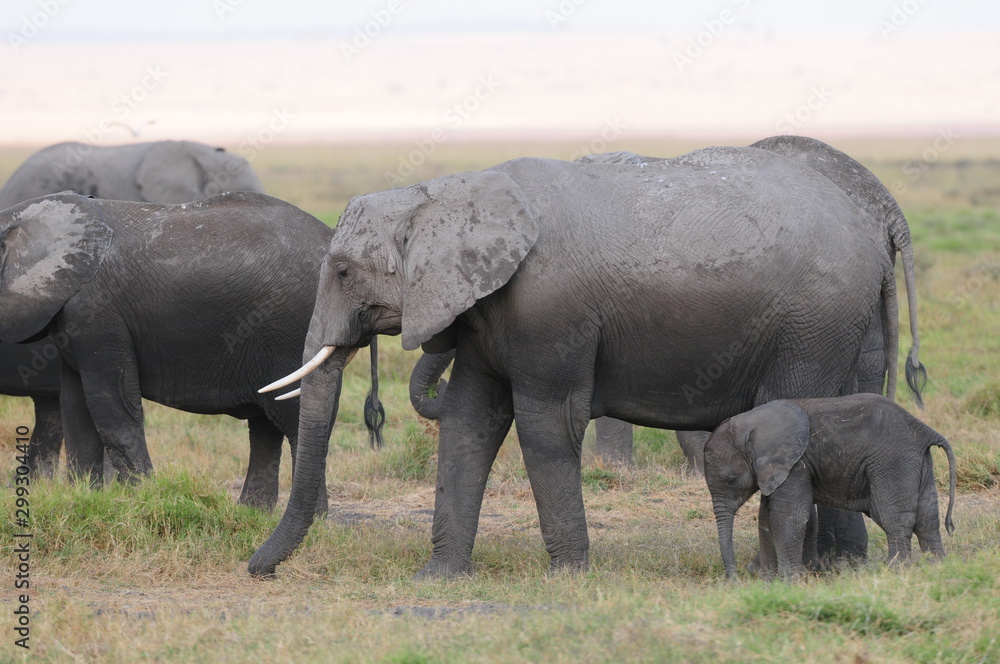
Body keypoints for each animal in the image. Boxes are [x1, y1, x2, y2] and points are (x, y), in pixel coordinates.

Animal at [0, 190, 369, 510]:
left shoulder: (98, 315)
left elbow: (113, 409)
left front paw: (142, 500)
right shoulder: (72, 317)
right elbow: (76, 412)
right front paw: (86, 501)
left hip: (294, 328)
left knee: (295, 421)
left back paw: (312, 521)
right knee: (267, 425)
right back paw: (251, 513)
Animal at [249, 145, 899, 578]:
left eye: (341, 271)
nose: (259, 569)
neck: (445, 192)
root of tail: (871, 233)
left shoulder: (549, 311)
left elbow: (546, 423)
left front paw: (567, 576)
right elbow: (469, 421)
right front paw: (438, 578)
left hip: (812, 323)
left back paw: (788, 575)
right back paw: (836, 571)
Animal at [703, 395, 956, 581]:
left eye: (731, 480)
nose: (734, 581)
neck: (750, 423)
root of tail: (924, 430)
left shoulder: (796, 465)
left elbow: (788, 517)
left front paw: (788, 582)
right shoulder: (776, 470)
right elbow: (766, 517)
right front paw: (769, 582)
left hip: (893, 461)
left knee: (894, 518)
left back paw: (897, 572)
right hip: (919, 461)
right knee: (927, 519)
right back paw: (936, 569)